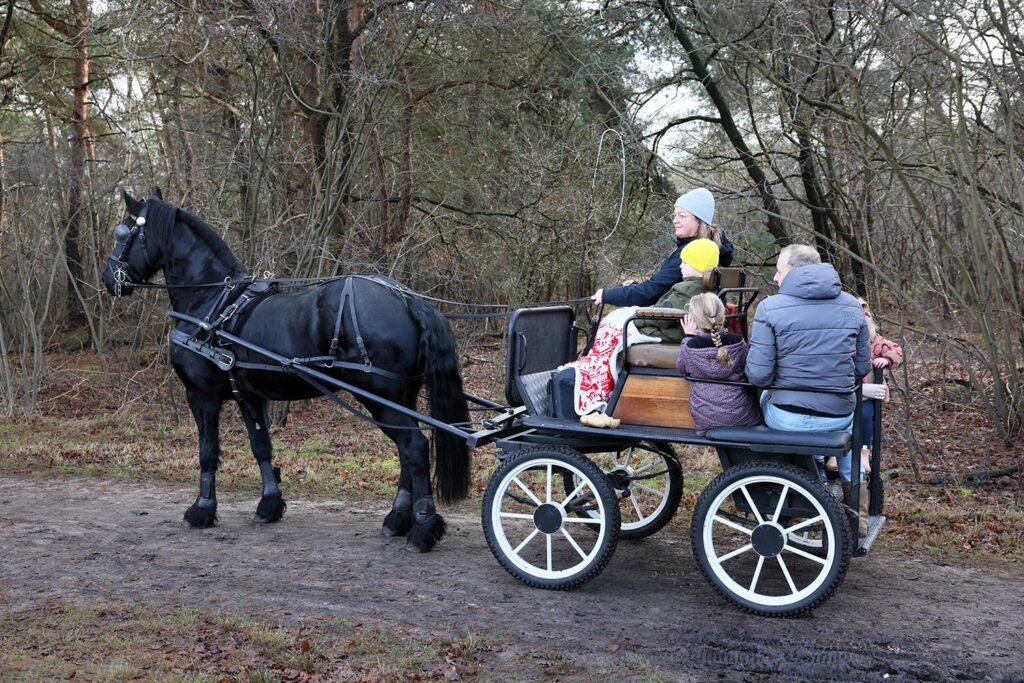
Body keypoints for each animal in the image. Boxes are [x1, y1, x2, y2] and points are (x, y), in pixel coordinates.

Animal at [101, 189, 468, 552]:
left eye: (122, 232)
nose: (108, 279)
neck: (211, 302)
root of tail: (405, 297)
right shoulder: (248, 396)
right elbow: (261, 446)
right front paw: (269, 504)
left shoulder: (201, 394)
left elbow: (207, 453)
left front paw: (201, 510)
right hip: (401, 396)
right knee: (407, 450)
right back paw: (398, 519)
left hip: (380, 395)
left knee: (414, 447)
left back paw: (422, 529)